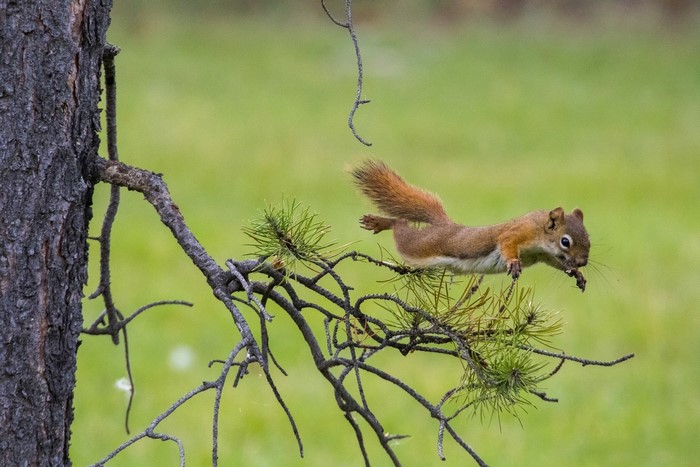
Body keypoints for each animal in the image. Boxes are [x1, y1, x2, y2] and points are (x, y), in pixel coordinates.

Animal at [351, 160, 590, 291]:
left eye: (589, 240)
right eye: (565, 241)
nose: (583, 262)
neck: (540, 232)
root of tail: (445, 225)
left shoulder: (545, 256)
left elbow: (557, 264)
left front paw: (577, 274)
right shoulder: (519, 232)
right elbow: (507, 243)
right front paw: (513, 262)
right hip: (417, 247)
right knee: (401, 227)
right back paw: (381, 222)